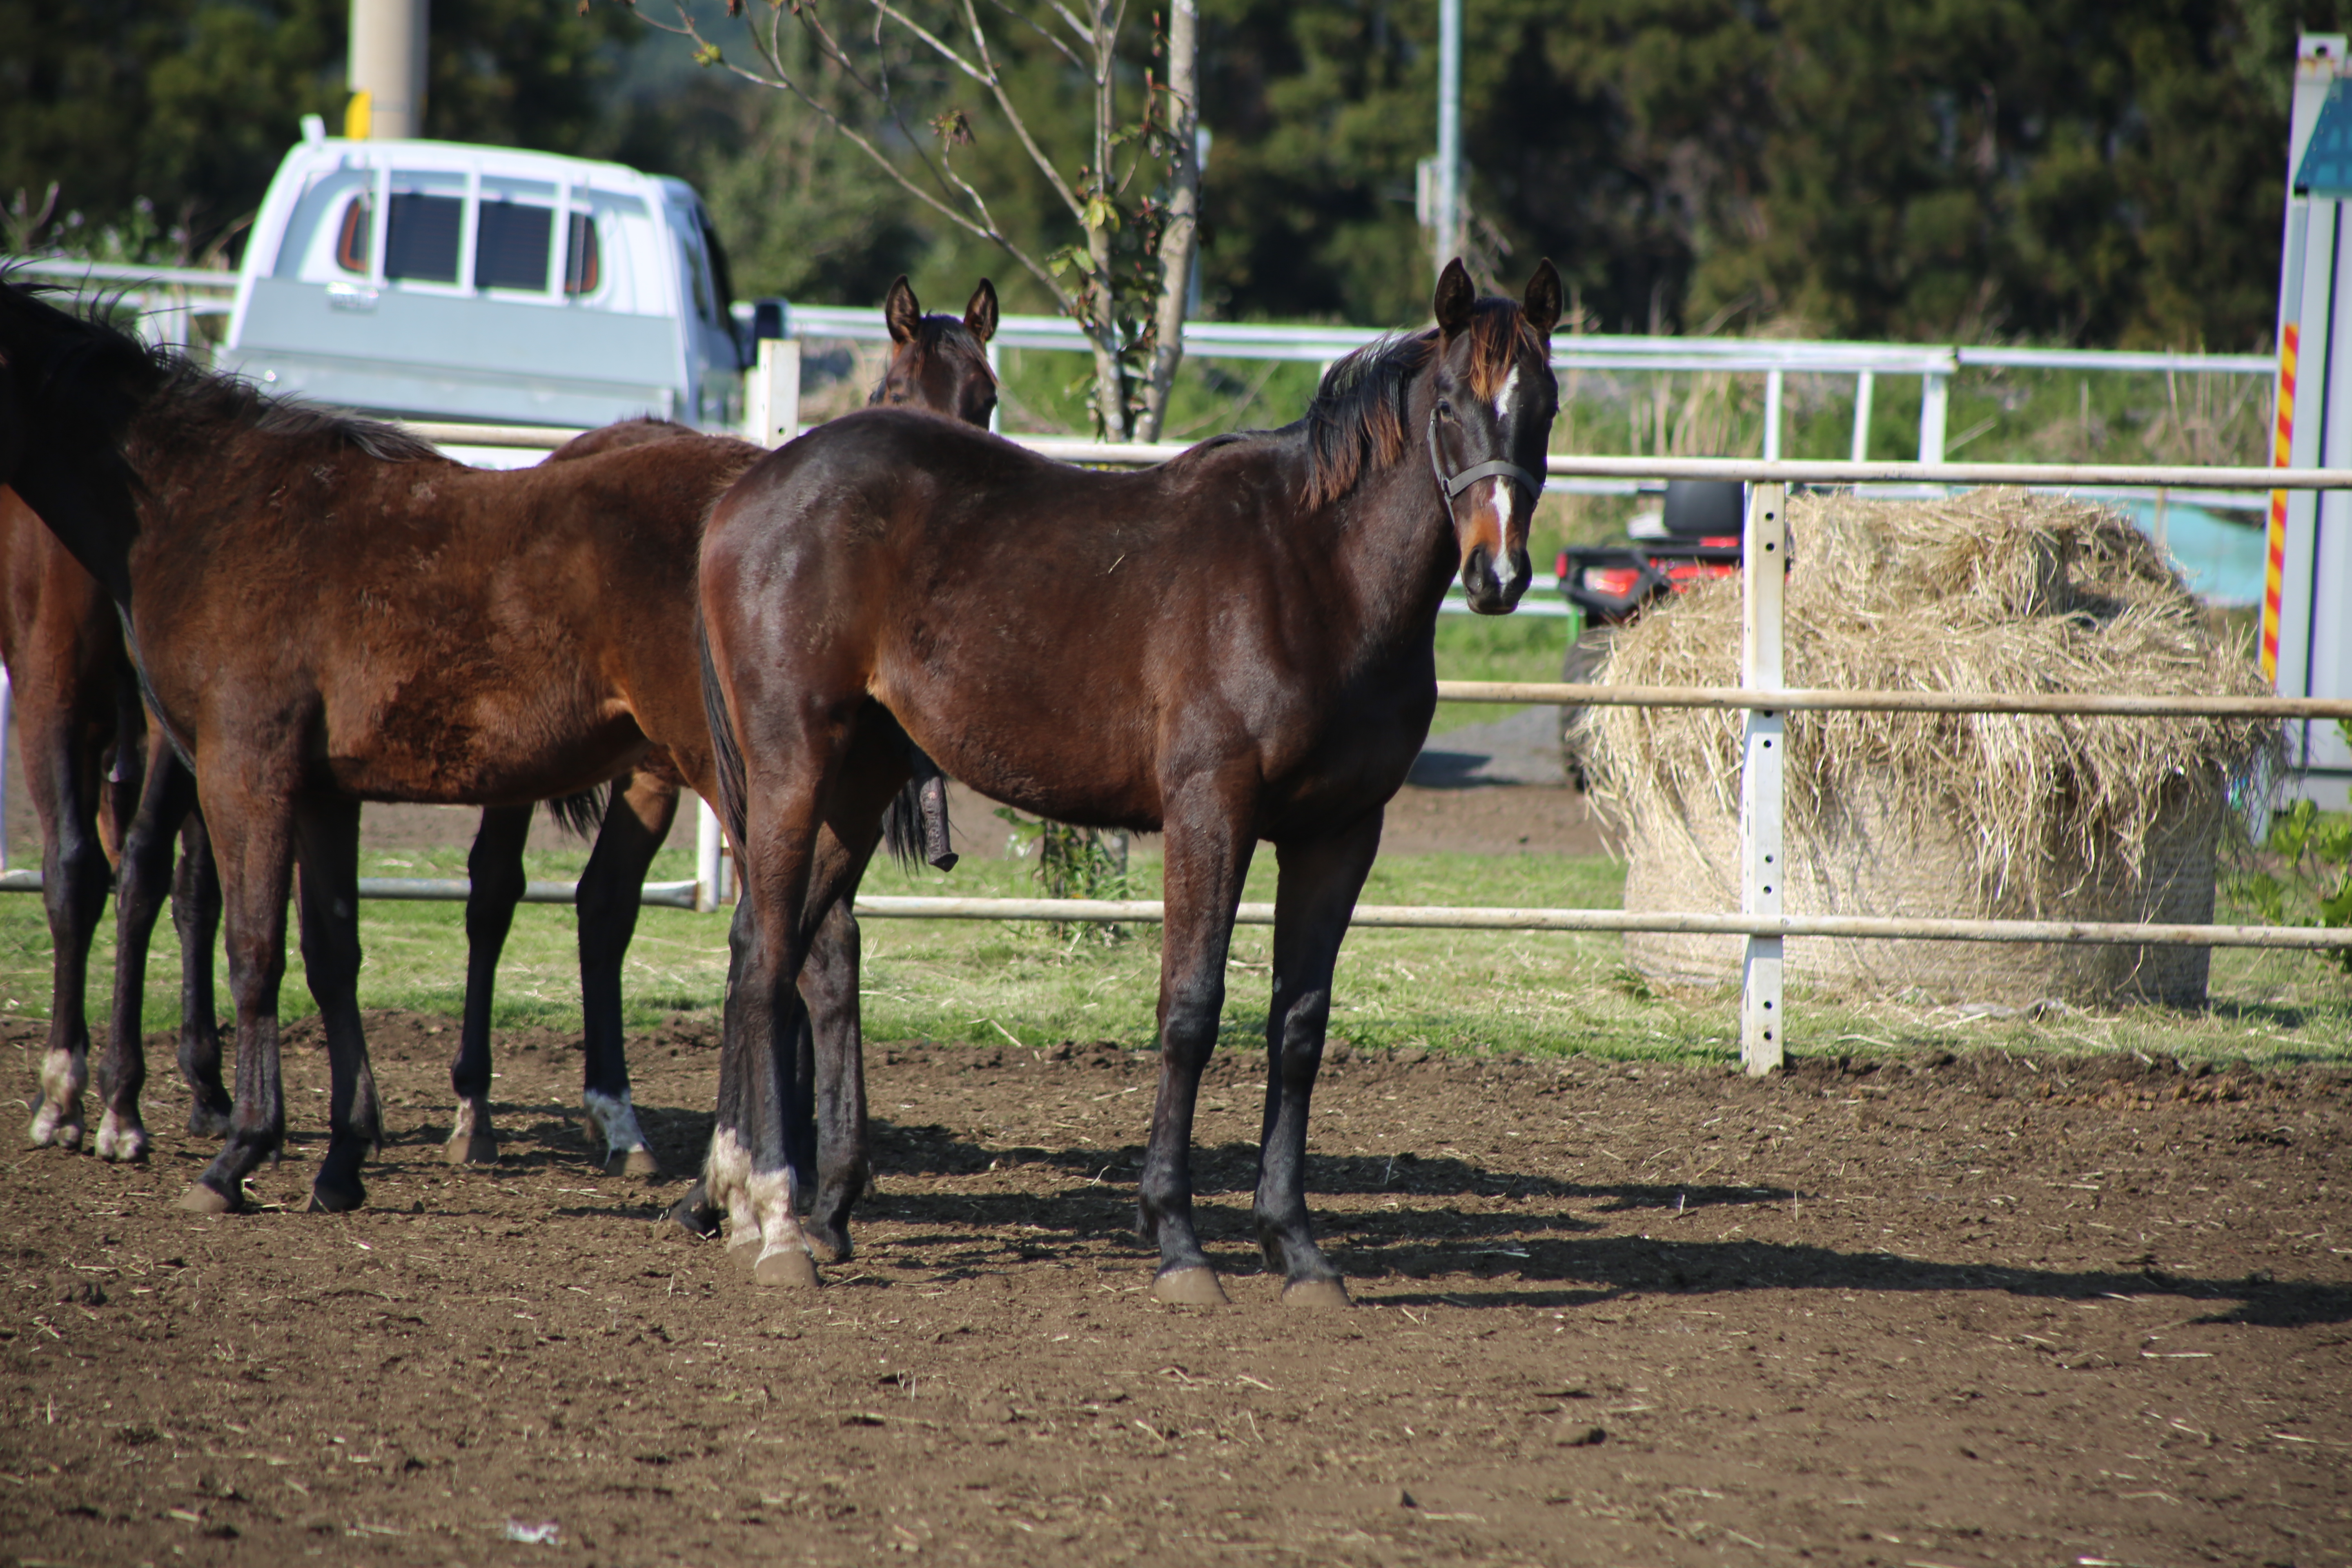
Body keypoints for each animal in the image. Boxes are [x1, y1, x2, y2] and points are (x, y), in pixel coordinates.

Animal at [0, 276, 992, 1241]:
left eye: (985, 396)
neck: (212, 507)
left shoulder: (247, 771)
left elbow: (254, 951)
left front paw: (240, 1152)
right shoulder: (321, 791)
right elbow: (330, 953)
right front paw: (341, 1160)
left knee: (791, 952)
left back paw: (746, 1190)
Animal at [691, 263, 1561, 1297]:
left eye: (1544, 405)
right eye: (1449, 404)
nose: (1498, 575)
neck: (1315, 574)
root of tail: (744, 494)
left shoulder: (1341, 831)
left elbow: (1298, 1028)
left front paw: (1296, 1247)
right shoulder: (1210, 812)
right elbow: (1189, 1012)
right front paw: (1178, 1241)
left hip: (855, 784)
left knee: (777, 946)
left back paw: (780, 1208)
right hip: (792, 765)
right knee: (766, 958)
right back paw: (778, 1221)